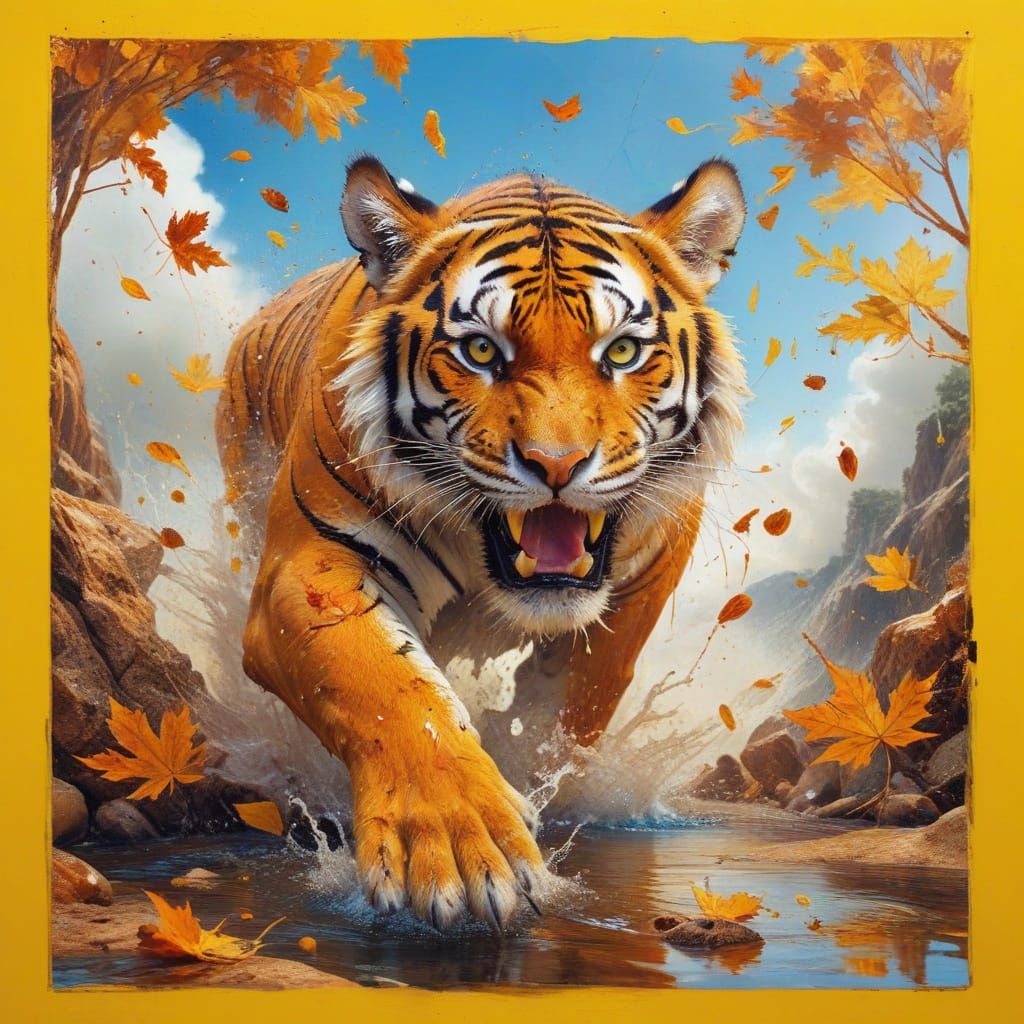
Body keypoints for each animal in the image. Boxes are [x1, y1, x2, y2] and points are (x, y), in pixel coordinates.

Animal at [215, 154, 747, 931]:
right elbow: (386, 689)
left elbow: (561, 714)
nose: (557, 464)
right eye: (480, 351)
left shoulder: (635, 595)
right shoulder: (312, 562)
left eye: (621, 350)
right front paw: (458, 850)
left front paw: (527, 791)